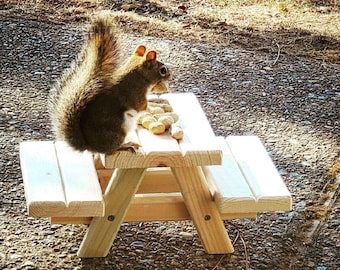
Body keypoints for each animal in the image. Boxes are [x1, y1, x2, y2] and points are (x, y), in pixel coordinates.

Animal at [48, 14, 171, 154]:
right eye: (163, 70)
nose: (170, 75)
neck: (138, 74)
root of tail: (90, 146)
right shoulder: (135, 92)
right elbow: (142, 106)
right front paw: (155, 105)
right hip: (118, 130)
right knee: (111, 150)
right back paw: (127, 145)